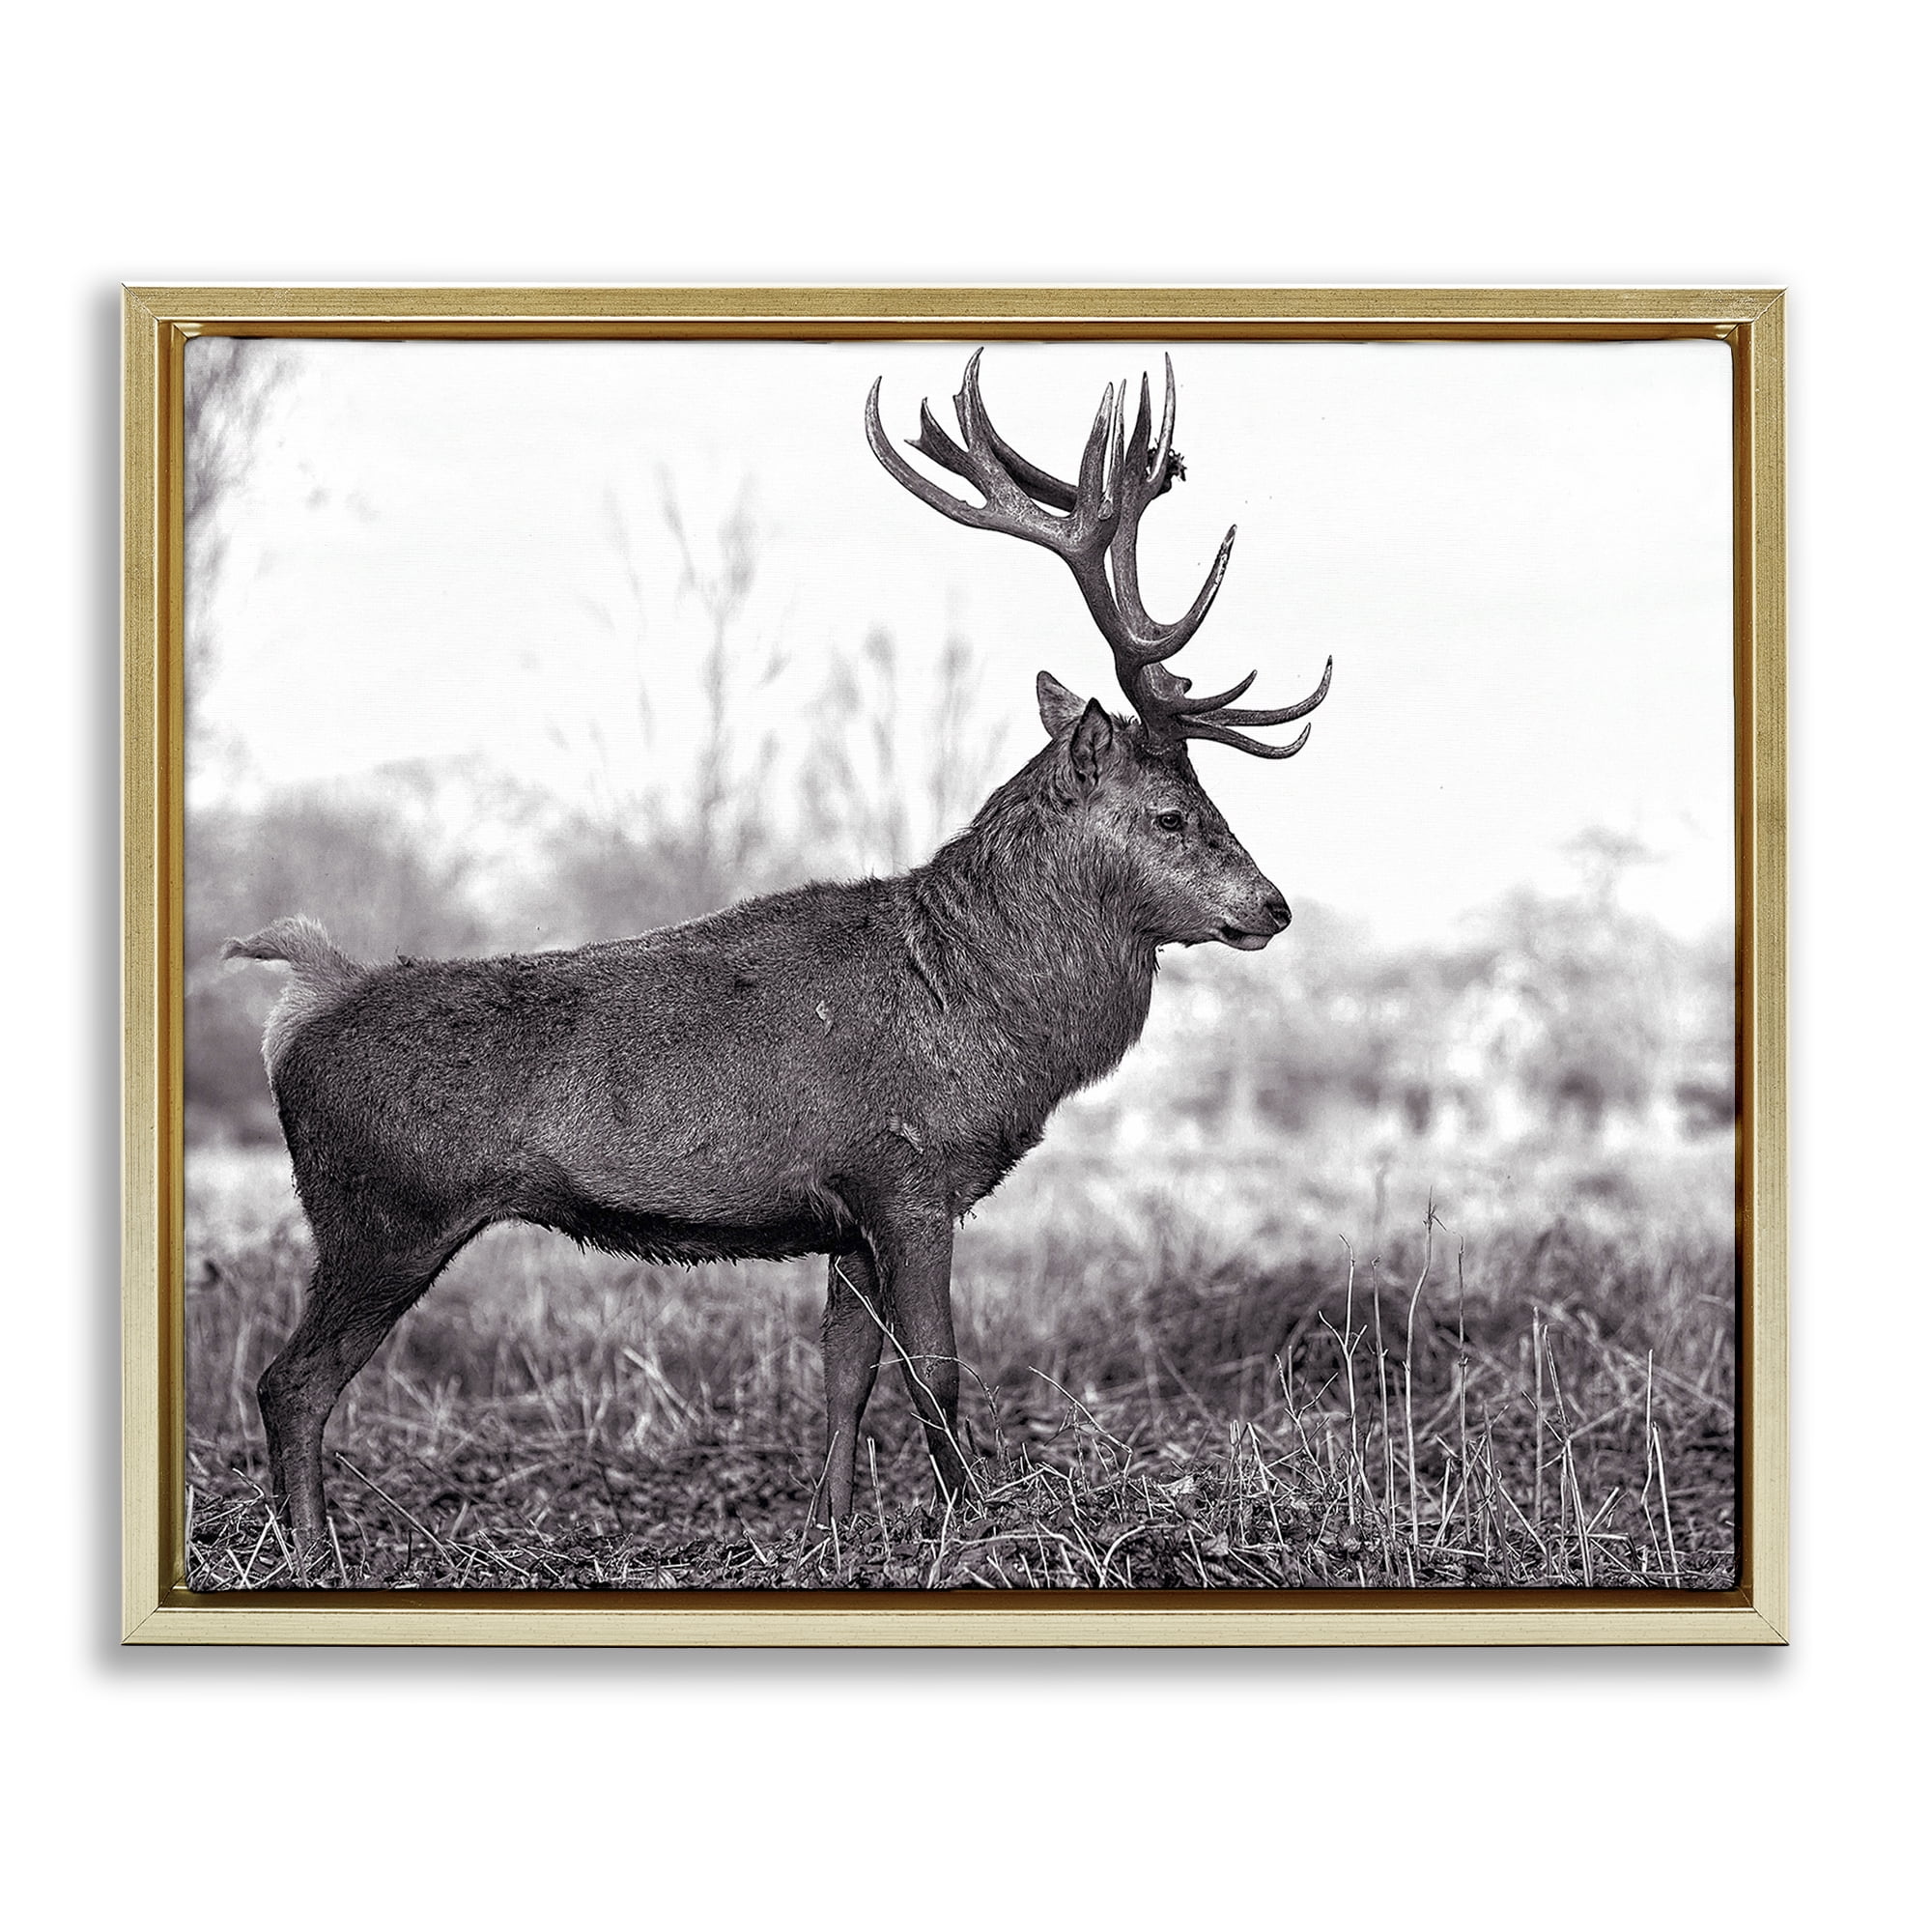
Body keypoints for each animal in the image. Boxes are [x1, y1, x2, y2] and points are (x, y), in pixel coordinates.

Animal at [225, 350, 1331, 1569]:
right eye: (1172, 814)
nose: (1271, 907)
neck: (987, 1013)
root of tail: (301, 1002)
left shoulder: (842, 1212)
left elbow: (844, 1373)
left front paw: (832, 1531)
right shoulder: (907, 1173)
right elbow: (934, 1370)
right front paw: (977, 1527)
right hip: (381, 1213)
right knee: (289, 1381)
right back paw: (311, 1551)